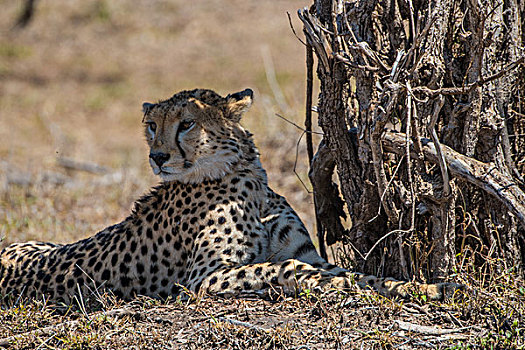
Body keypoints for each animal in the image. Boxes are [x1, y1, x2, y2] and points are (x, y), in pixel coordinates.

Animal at [0, 88, 460, 304]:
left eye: (186, 123)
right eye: (151, 125)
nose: (157, 156)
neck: (243, 177)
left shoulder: (310, 253)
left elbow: (358, 273)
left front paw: (424, 288)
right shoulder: (202, 280)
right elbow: (289, 268)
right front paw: (342, 287)